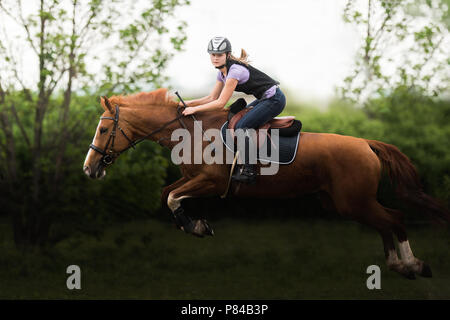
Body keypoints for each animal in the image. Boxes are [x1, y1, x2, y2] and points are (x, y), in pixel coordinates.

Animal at [82, 89, 448, 278]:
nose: (89, 169)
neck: (191, 131)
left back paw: (414, 264)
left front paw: (198, 226)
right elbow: (166, 195)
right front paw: (195, 225)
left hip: (353, 201)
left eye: (103, 129)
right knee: (385, 222)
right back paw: (398, 265)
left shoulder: (211, 182)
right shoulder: (191, 178)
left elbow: (172, 197)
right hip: (346, 203)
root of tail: (367, 144)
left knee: (394, 218)